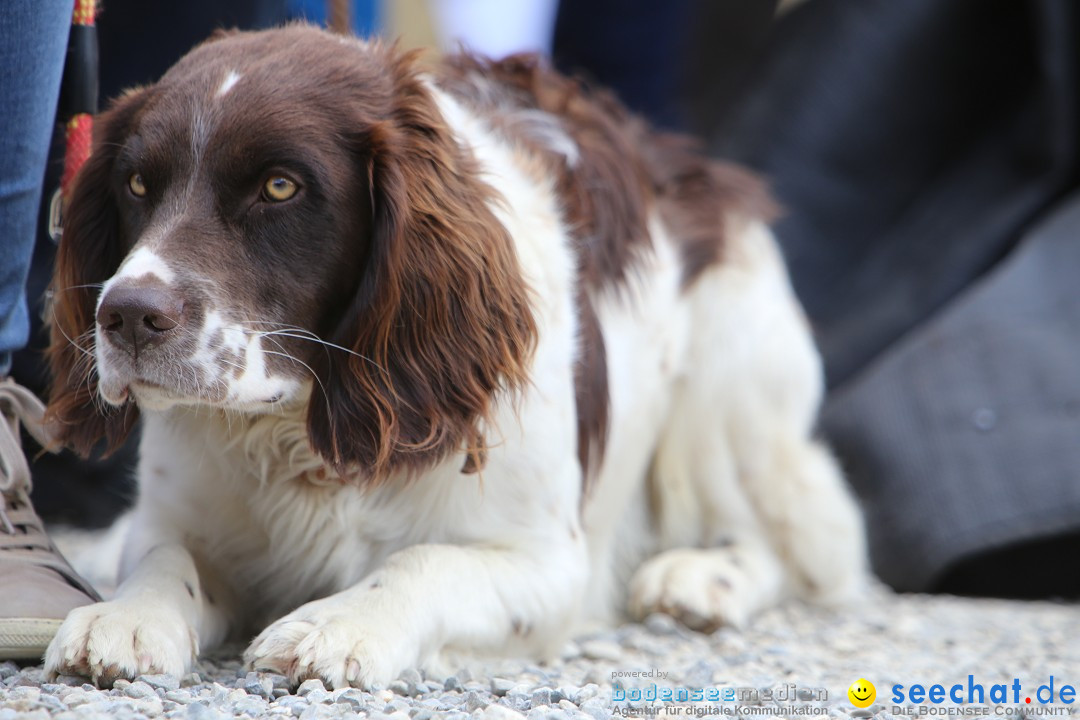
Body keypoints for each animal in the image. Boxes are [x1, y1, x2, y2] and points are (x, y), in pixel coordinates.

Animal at [44, 22, 868, 686]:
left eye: (279, 187)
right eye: (137, 184)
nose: (127, 315)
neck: (304, 430)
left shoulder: (549, 565)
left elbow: (421, 561)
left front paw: (334, 625)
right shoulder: (177, 516)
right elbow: (164, 560)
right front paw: (123, 617)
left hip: (727, 377)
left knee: (795, 537)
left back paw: (701, 578)